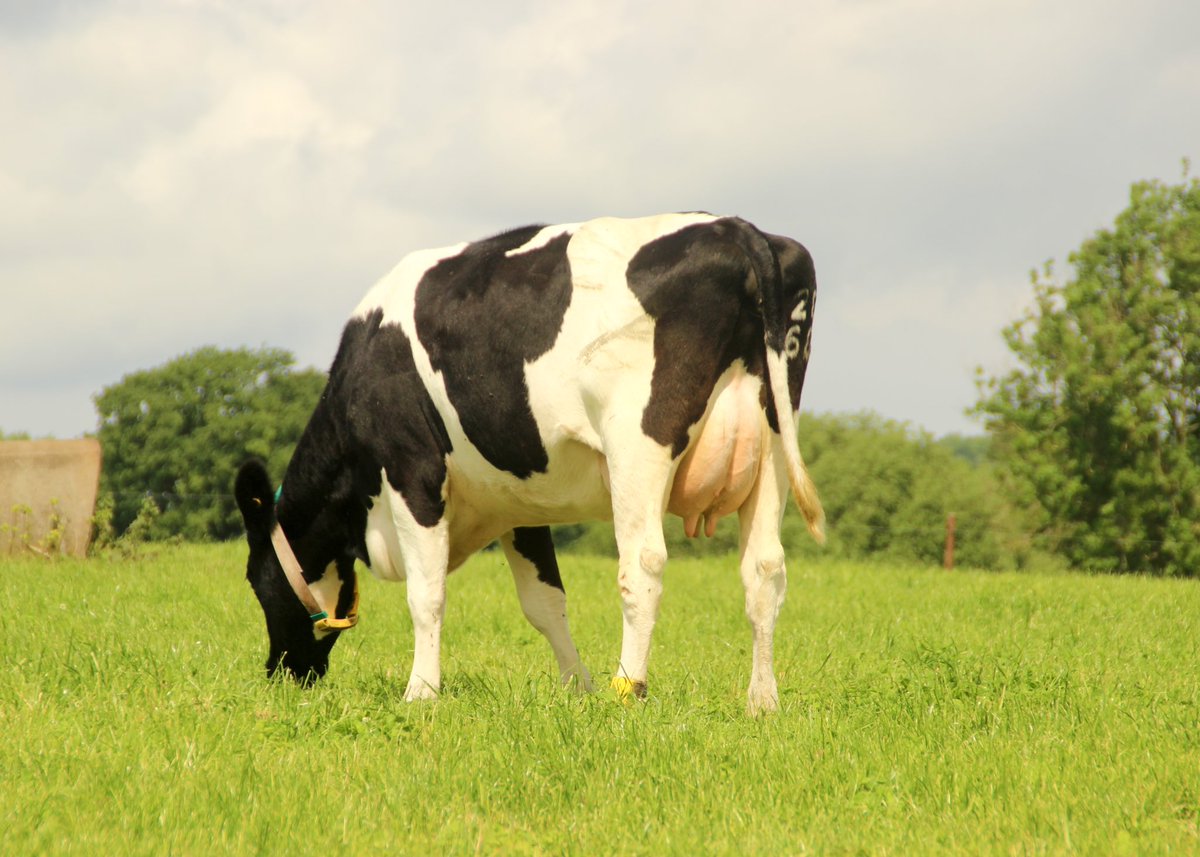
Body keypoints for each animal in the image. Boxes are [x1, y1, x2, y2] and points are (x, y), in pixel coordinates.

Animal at [234, 212, 824, 714]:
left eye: (256, 581)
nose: (280, 672)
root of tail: (737, 227)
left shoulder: (412, 471)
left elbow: (426, 595)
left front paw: (421, 692)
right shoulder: (518, 504)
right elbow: (544, 602)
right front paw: (578, 688)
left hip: (639, 441)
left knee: (644, 563)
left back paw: (628, 690)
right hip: (774, 439)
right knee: (764, 567)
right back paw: (761, 702)